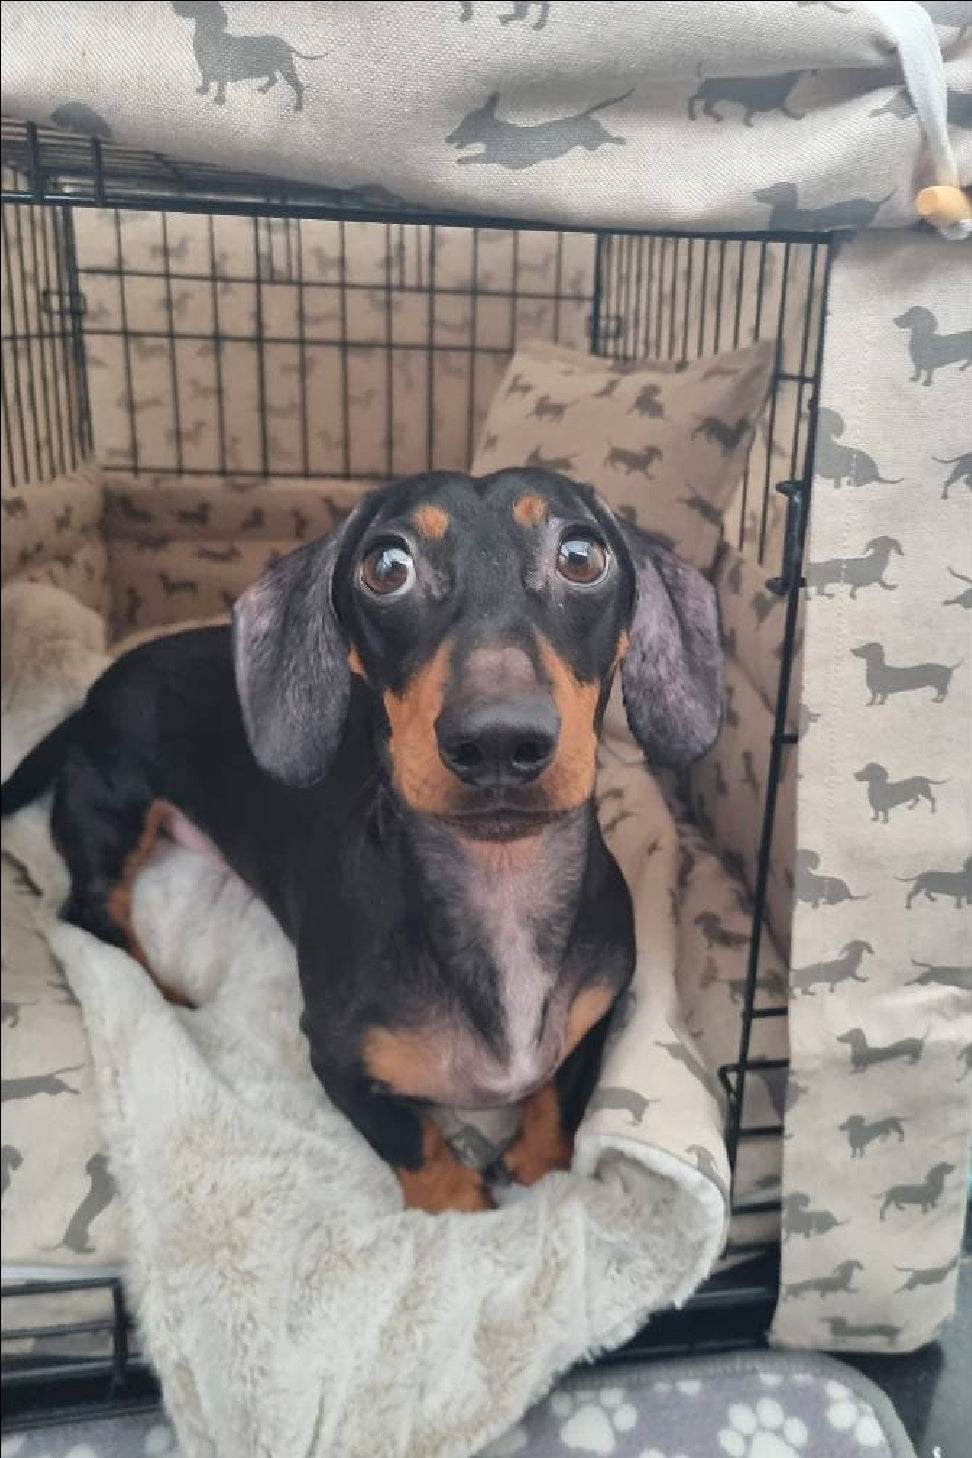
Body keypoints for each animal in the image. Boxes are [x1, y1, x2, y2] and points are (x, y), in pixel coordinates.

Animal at [1, 466, 722, 1207]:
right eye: (387, 567)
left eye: (582, 556)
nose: (498, 740)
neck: (499, 878)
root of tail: (93, 690)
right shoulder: (335, 1058)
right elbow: (415, 1142)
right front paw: (460, 1203)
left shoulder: (596, 1017)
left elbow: (563, 1098)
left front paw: (538, 1166)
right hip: (113, 814)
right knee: (89, 912)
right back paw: (163, 995)